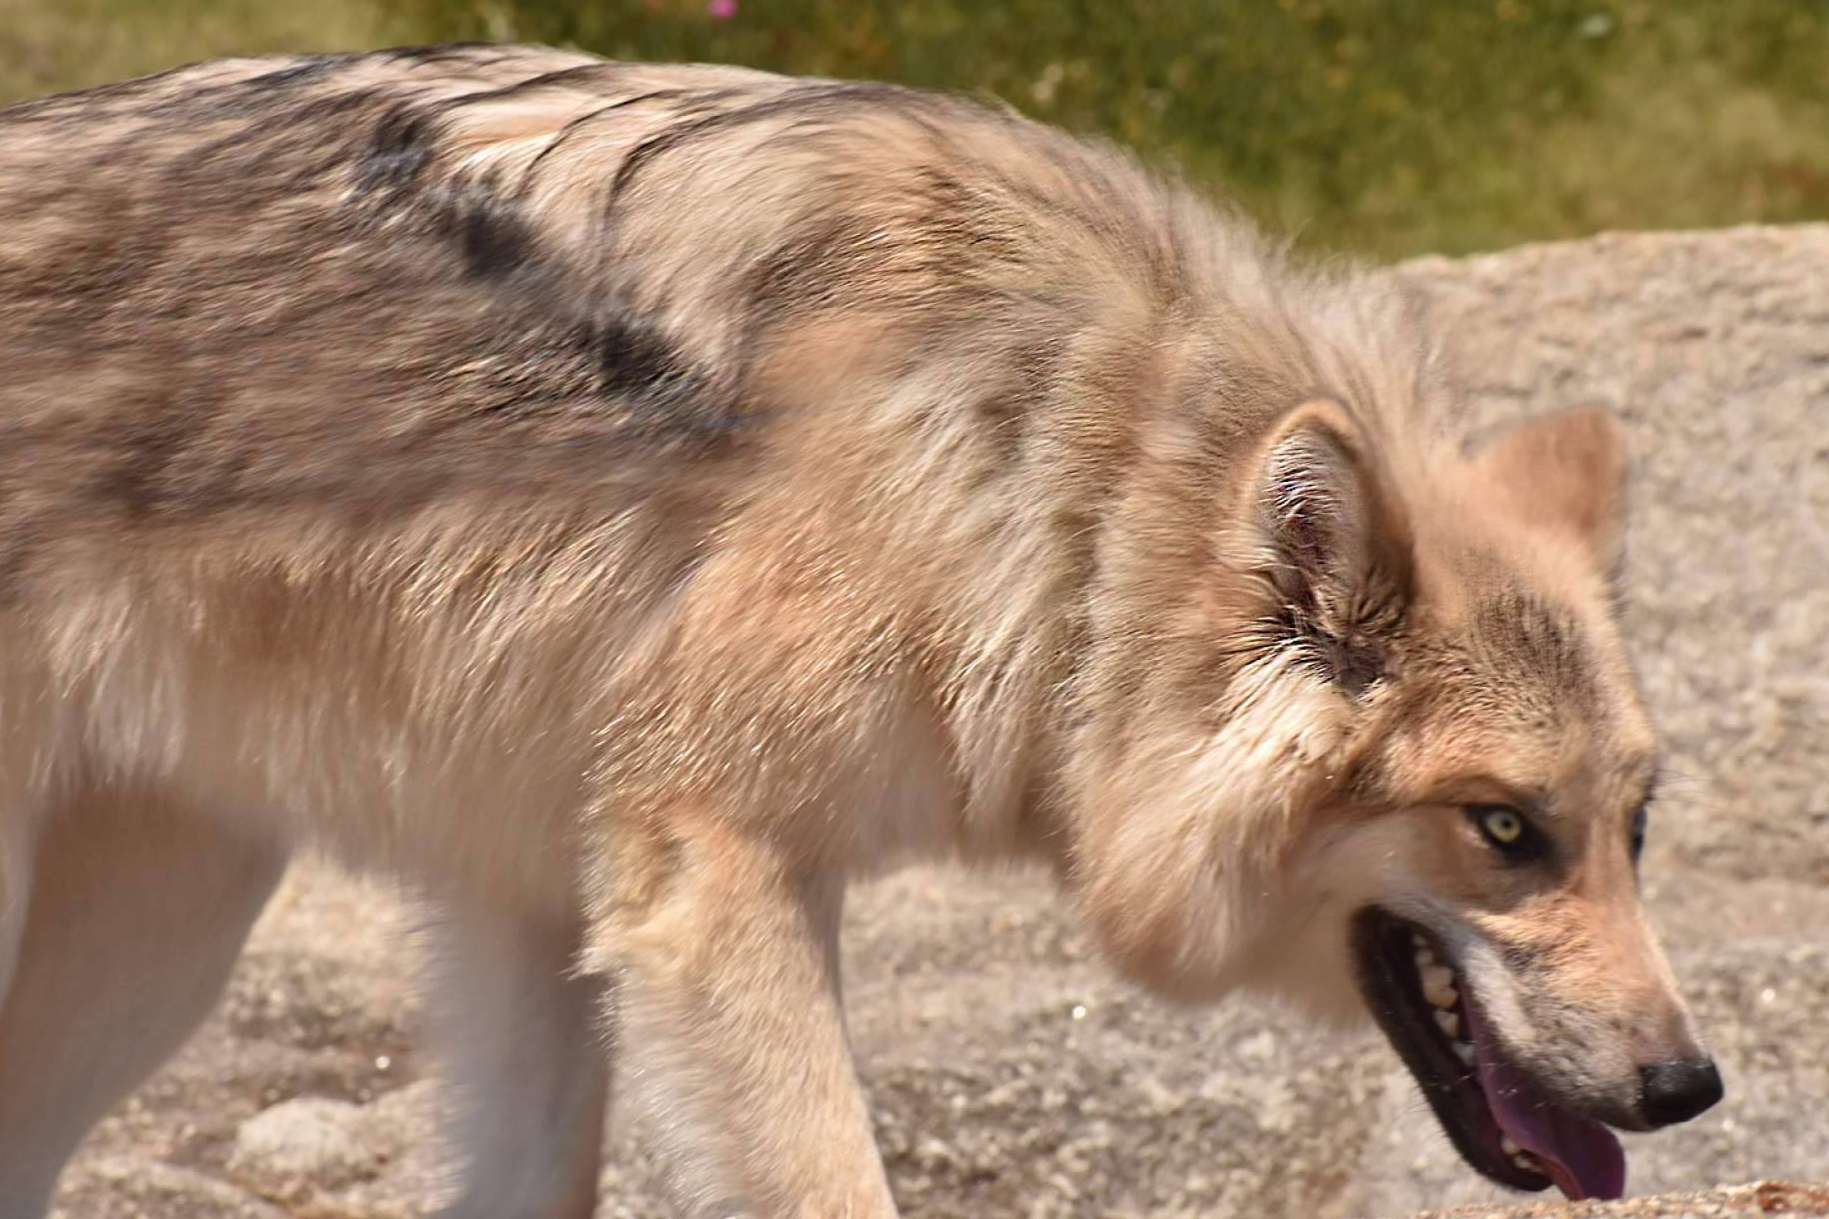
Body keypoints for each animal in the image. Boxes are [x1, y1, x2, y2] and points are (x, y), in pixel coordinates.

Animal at [0, 43, 1721, 1218]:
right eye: (1503, 827)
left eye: (1633, 826)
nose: (1689, 1084)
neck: (1054, 471)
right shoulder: (711, 874)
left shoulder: (537, 895)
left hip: (161, 942)